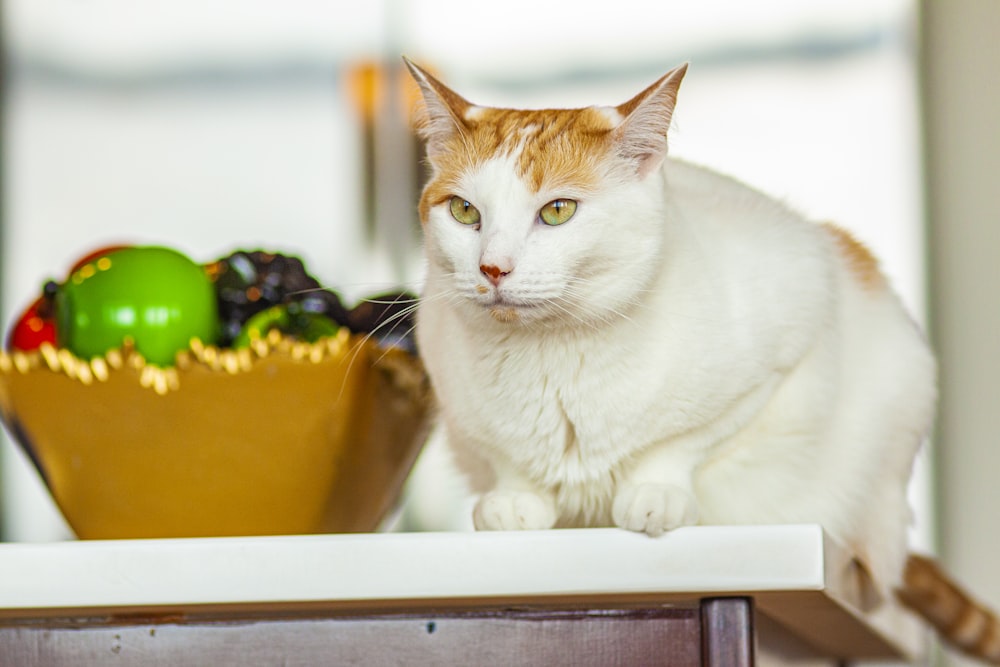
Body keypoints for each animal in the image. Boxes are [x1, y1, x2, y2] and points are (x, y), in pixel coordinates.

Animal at [404, 60, 1000, 664]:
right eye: (464, 211)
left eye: (557, 211)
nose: (492, 268)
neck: (554, 354)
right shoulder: (460, 410)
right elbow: (504, 456)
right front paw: (513, 500)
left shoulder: (787, 345)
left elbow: (684, 441)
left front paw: (656, 493)